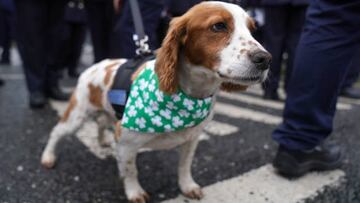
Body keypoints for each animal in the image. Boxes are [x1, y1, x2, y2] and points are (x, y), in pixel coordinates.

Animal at [40, 1, 270, 203]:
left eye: (252, 29)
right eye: (219, 26)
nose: (266, 59)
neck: (189, 96)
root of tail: (96, 65)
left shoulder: (192, 139)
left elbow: (184, 166)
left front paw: (187, 186)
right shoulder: (126, 142)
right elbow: (130, 170)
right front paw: (134, 192)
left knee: (101, 123)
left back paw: (102, 140)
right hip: (77, 114)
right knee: (56, 132)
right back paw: (48, 156)